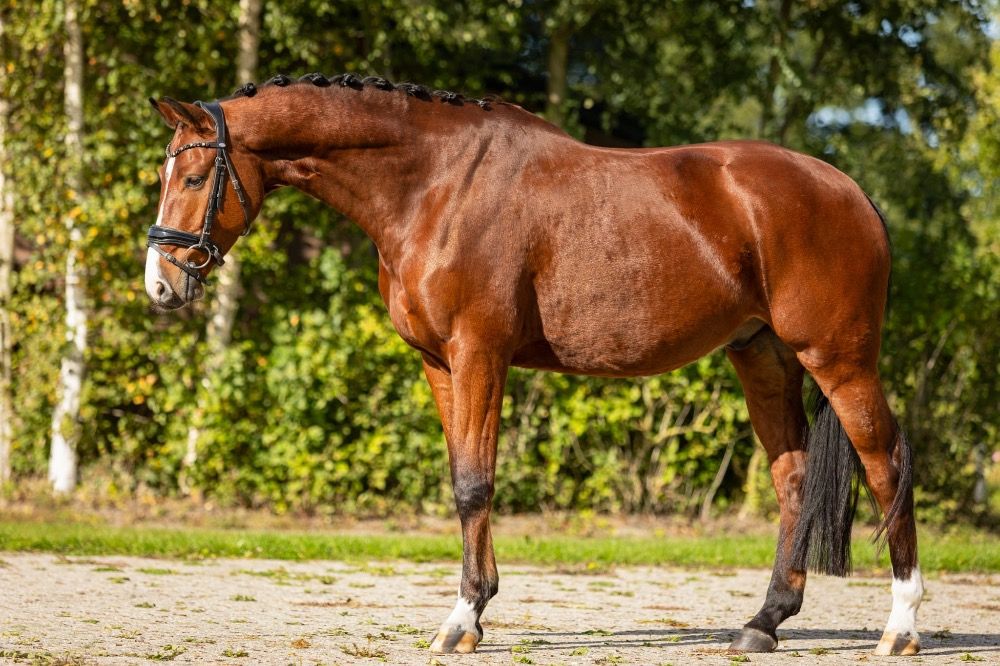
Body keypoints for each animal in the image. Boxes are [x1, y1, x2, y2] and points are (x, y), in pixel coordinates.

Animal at [144, 73, 921, 657]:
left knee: (886, 465)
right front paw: (477, 608)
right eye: (167, 172)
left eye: (195, 174)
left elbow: (474, 485)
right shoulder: (439, 363)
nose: (161, 286)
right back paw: (764, 623)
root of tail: (851, 192)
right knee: (793, 476)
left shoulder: (478, 353)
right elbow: (462, 477)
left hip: (839, 359)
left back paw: (901, 627)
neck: (435, 185)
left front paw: (461, 620)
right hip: (762, 355)